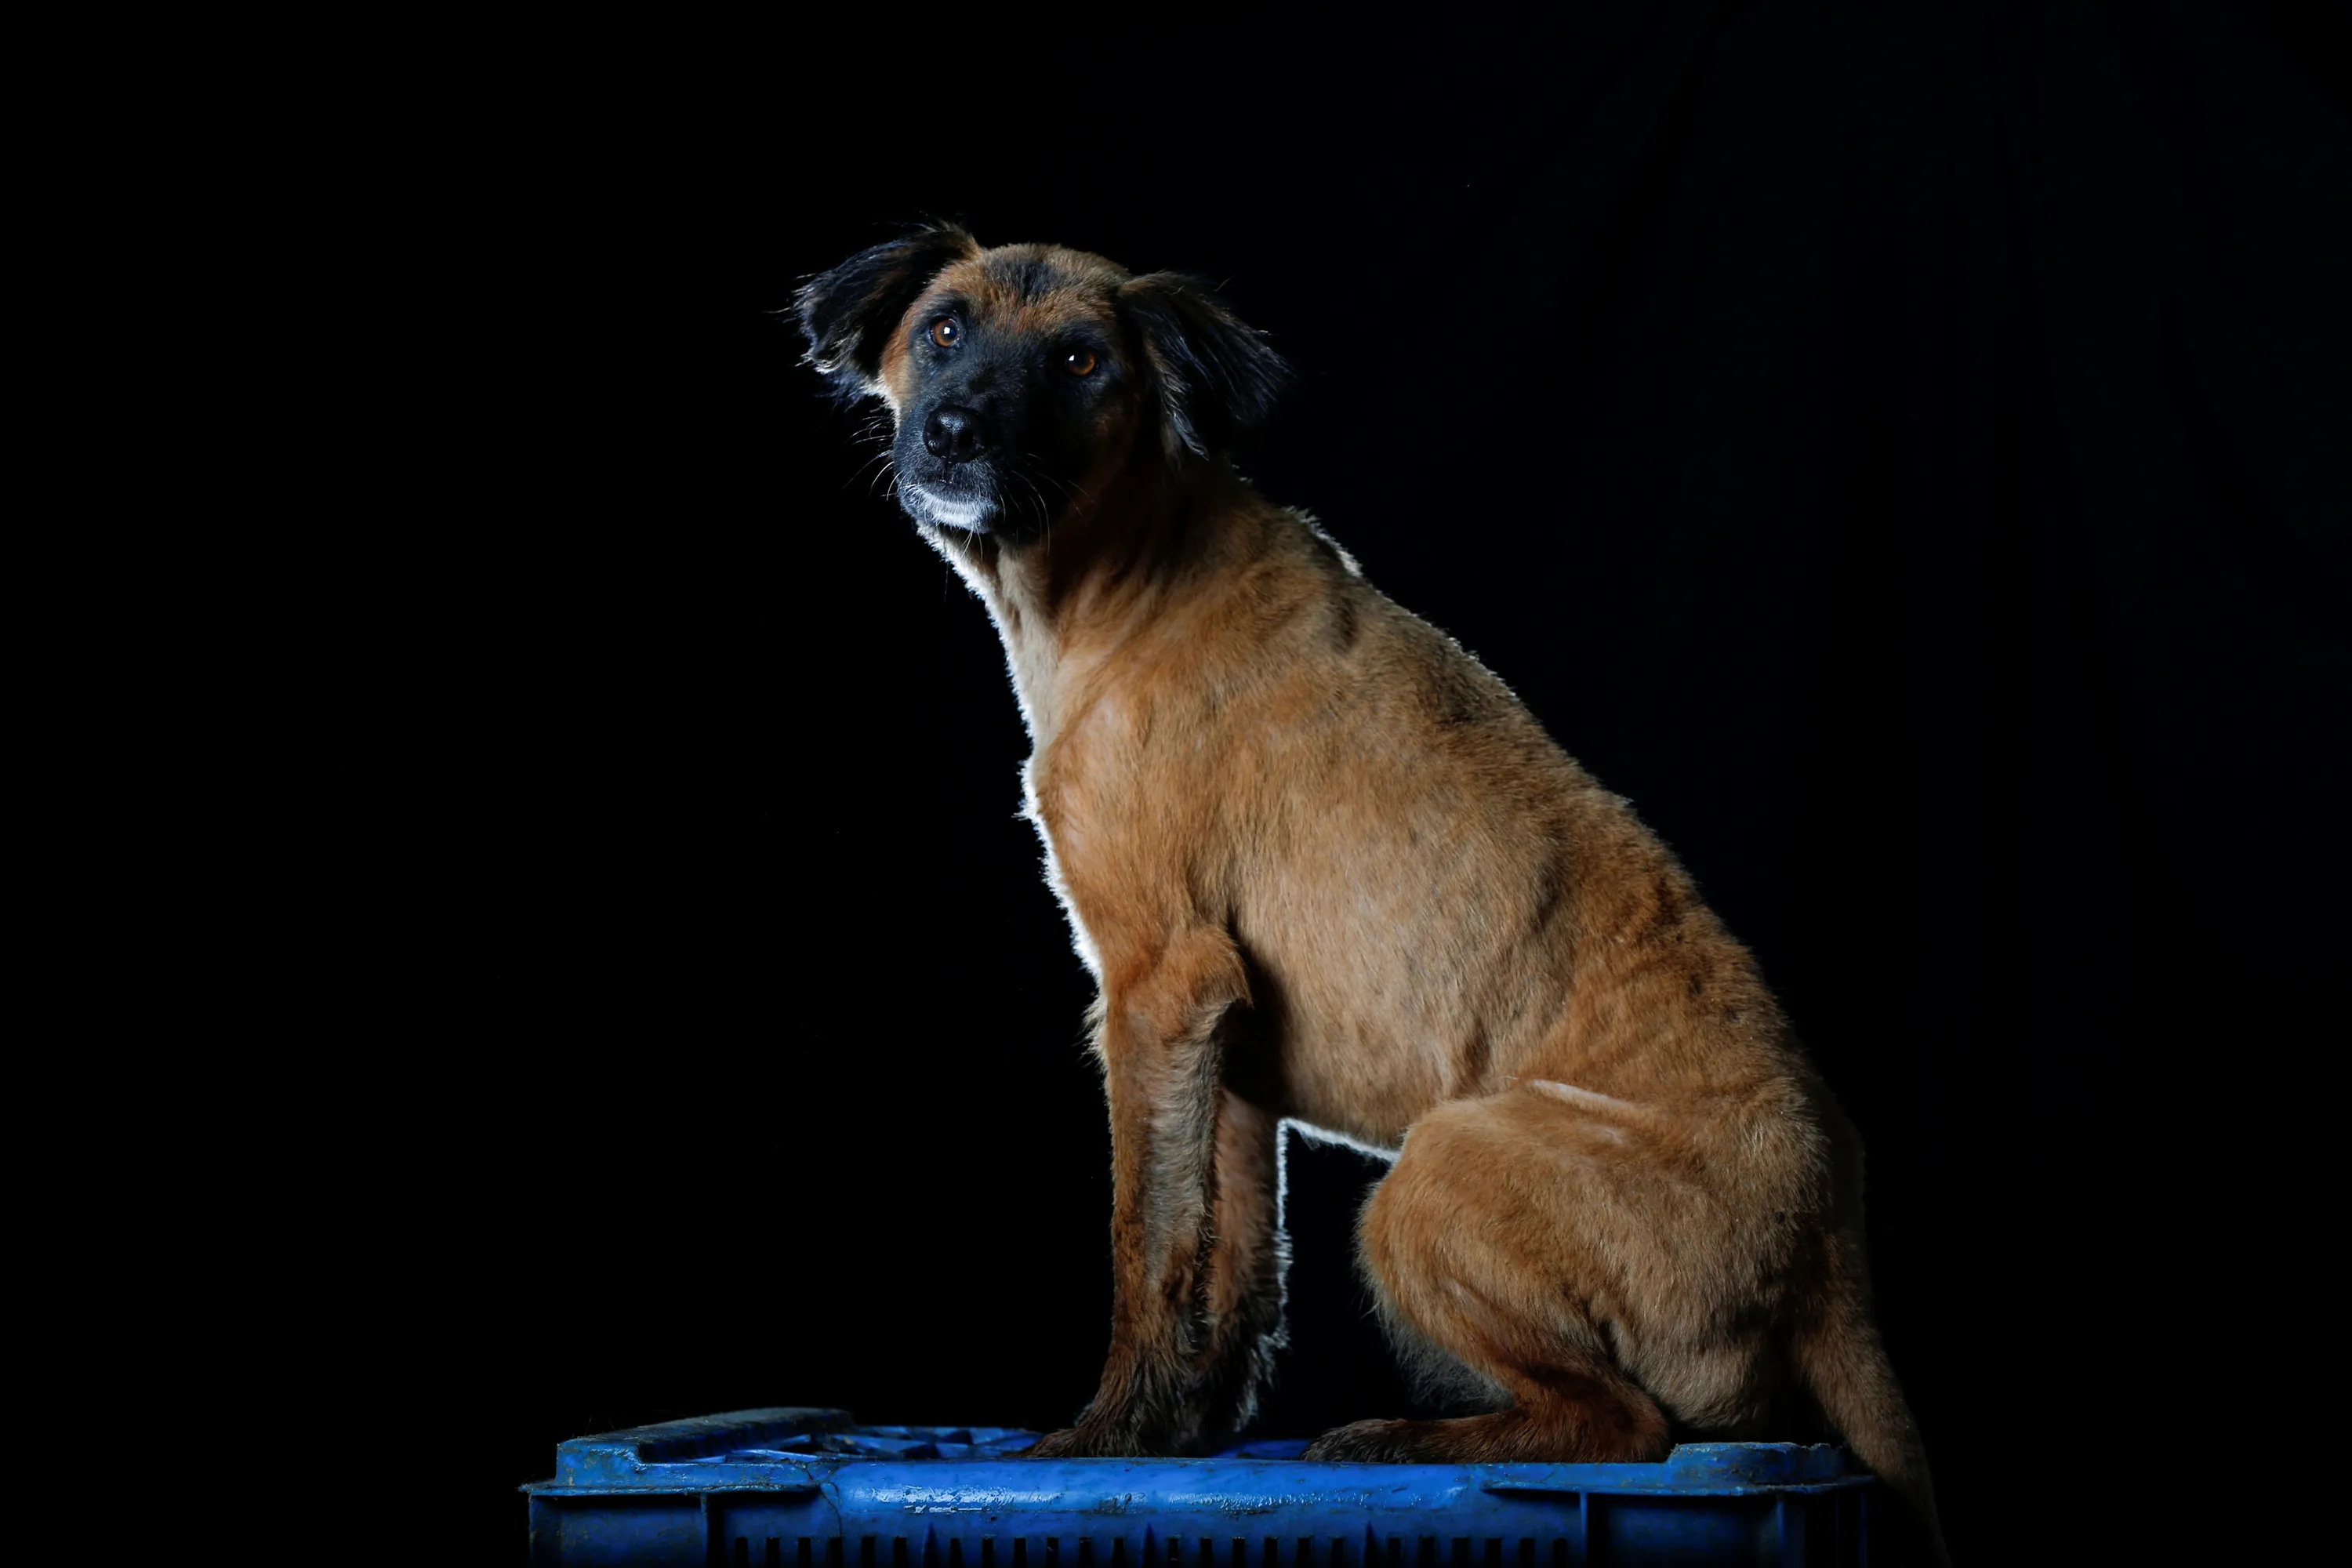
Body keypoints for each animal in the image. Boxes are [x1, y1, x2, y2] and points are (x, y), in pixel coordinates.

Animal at [797, 223, 1947, 1560]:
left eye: (1081, 361)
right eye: (943, 329)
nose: (955, 433)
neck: (1125, 572)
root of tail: (1833, 1244)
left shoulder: (1157, 986)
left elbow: (1148, 1241)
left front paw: (1105, 1437)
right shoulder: (1227, 1042)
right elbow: (1232, 1264)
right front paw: (1183, 1436)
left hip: (1436, 1175)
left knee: (1620, 1423)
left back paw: (1410, 1441)